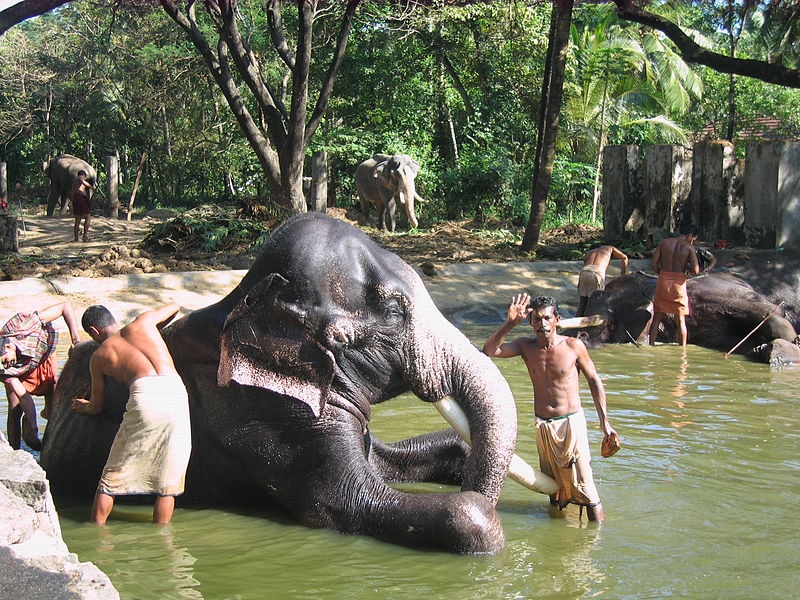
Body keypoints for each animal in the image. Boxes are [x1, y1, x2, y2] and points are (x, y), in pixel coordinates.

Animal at [43, 213, 532, 556]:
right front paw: (483, 518)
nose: (480, 487)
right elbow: (343, 503)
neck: (246, 299)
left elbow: (388, 463)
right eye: (396, 312)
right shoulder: (262, 415)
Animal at [580, 270, 796, 358]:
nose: (582, 337)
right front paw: (761, 349)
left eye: (601, 294)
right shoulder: (705, 335)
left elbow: (766, 311)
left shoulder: (720, 292)